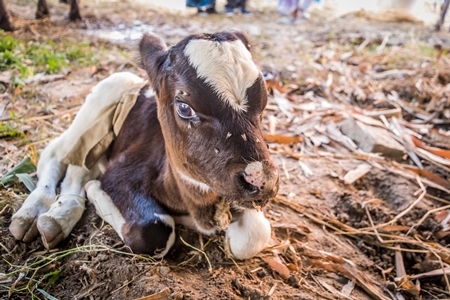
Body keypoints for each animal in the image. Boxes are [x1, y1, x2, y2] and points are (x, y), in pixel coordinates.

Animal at [8, 31, 280, 260]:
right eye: (184, 107)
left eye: (264, 102)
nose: (263, 182)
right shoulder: (122, 172)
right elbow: (152, 232)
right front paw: (95, 190)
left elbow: (255, 234)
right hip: (99, 102)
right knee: (58, 155)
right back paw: (39, 214)